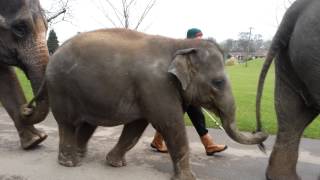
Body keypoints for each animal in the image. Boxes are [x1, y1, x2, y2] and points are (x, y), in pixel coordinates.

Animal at [45, 28, 268, 180]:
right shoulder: (157, 84)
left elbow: (136, 127)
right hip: (61, 89)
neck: (180, 44)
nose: (261, 133)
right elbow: (171, 124)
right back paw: (70, 162)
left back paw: (80, 155)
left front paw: (115, 164)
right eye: (219, 82)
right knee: (68, 124)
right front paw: (189, 179)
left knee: (87, 124)